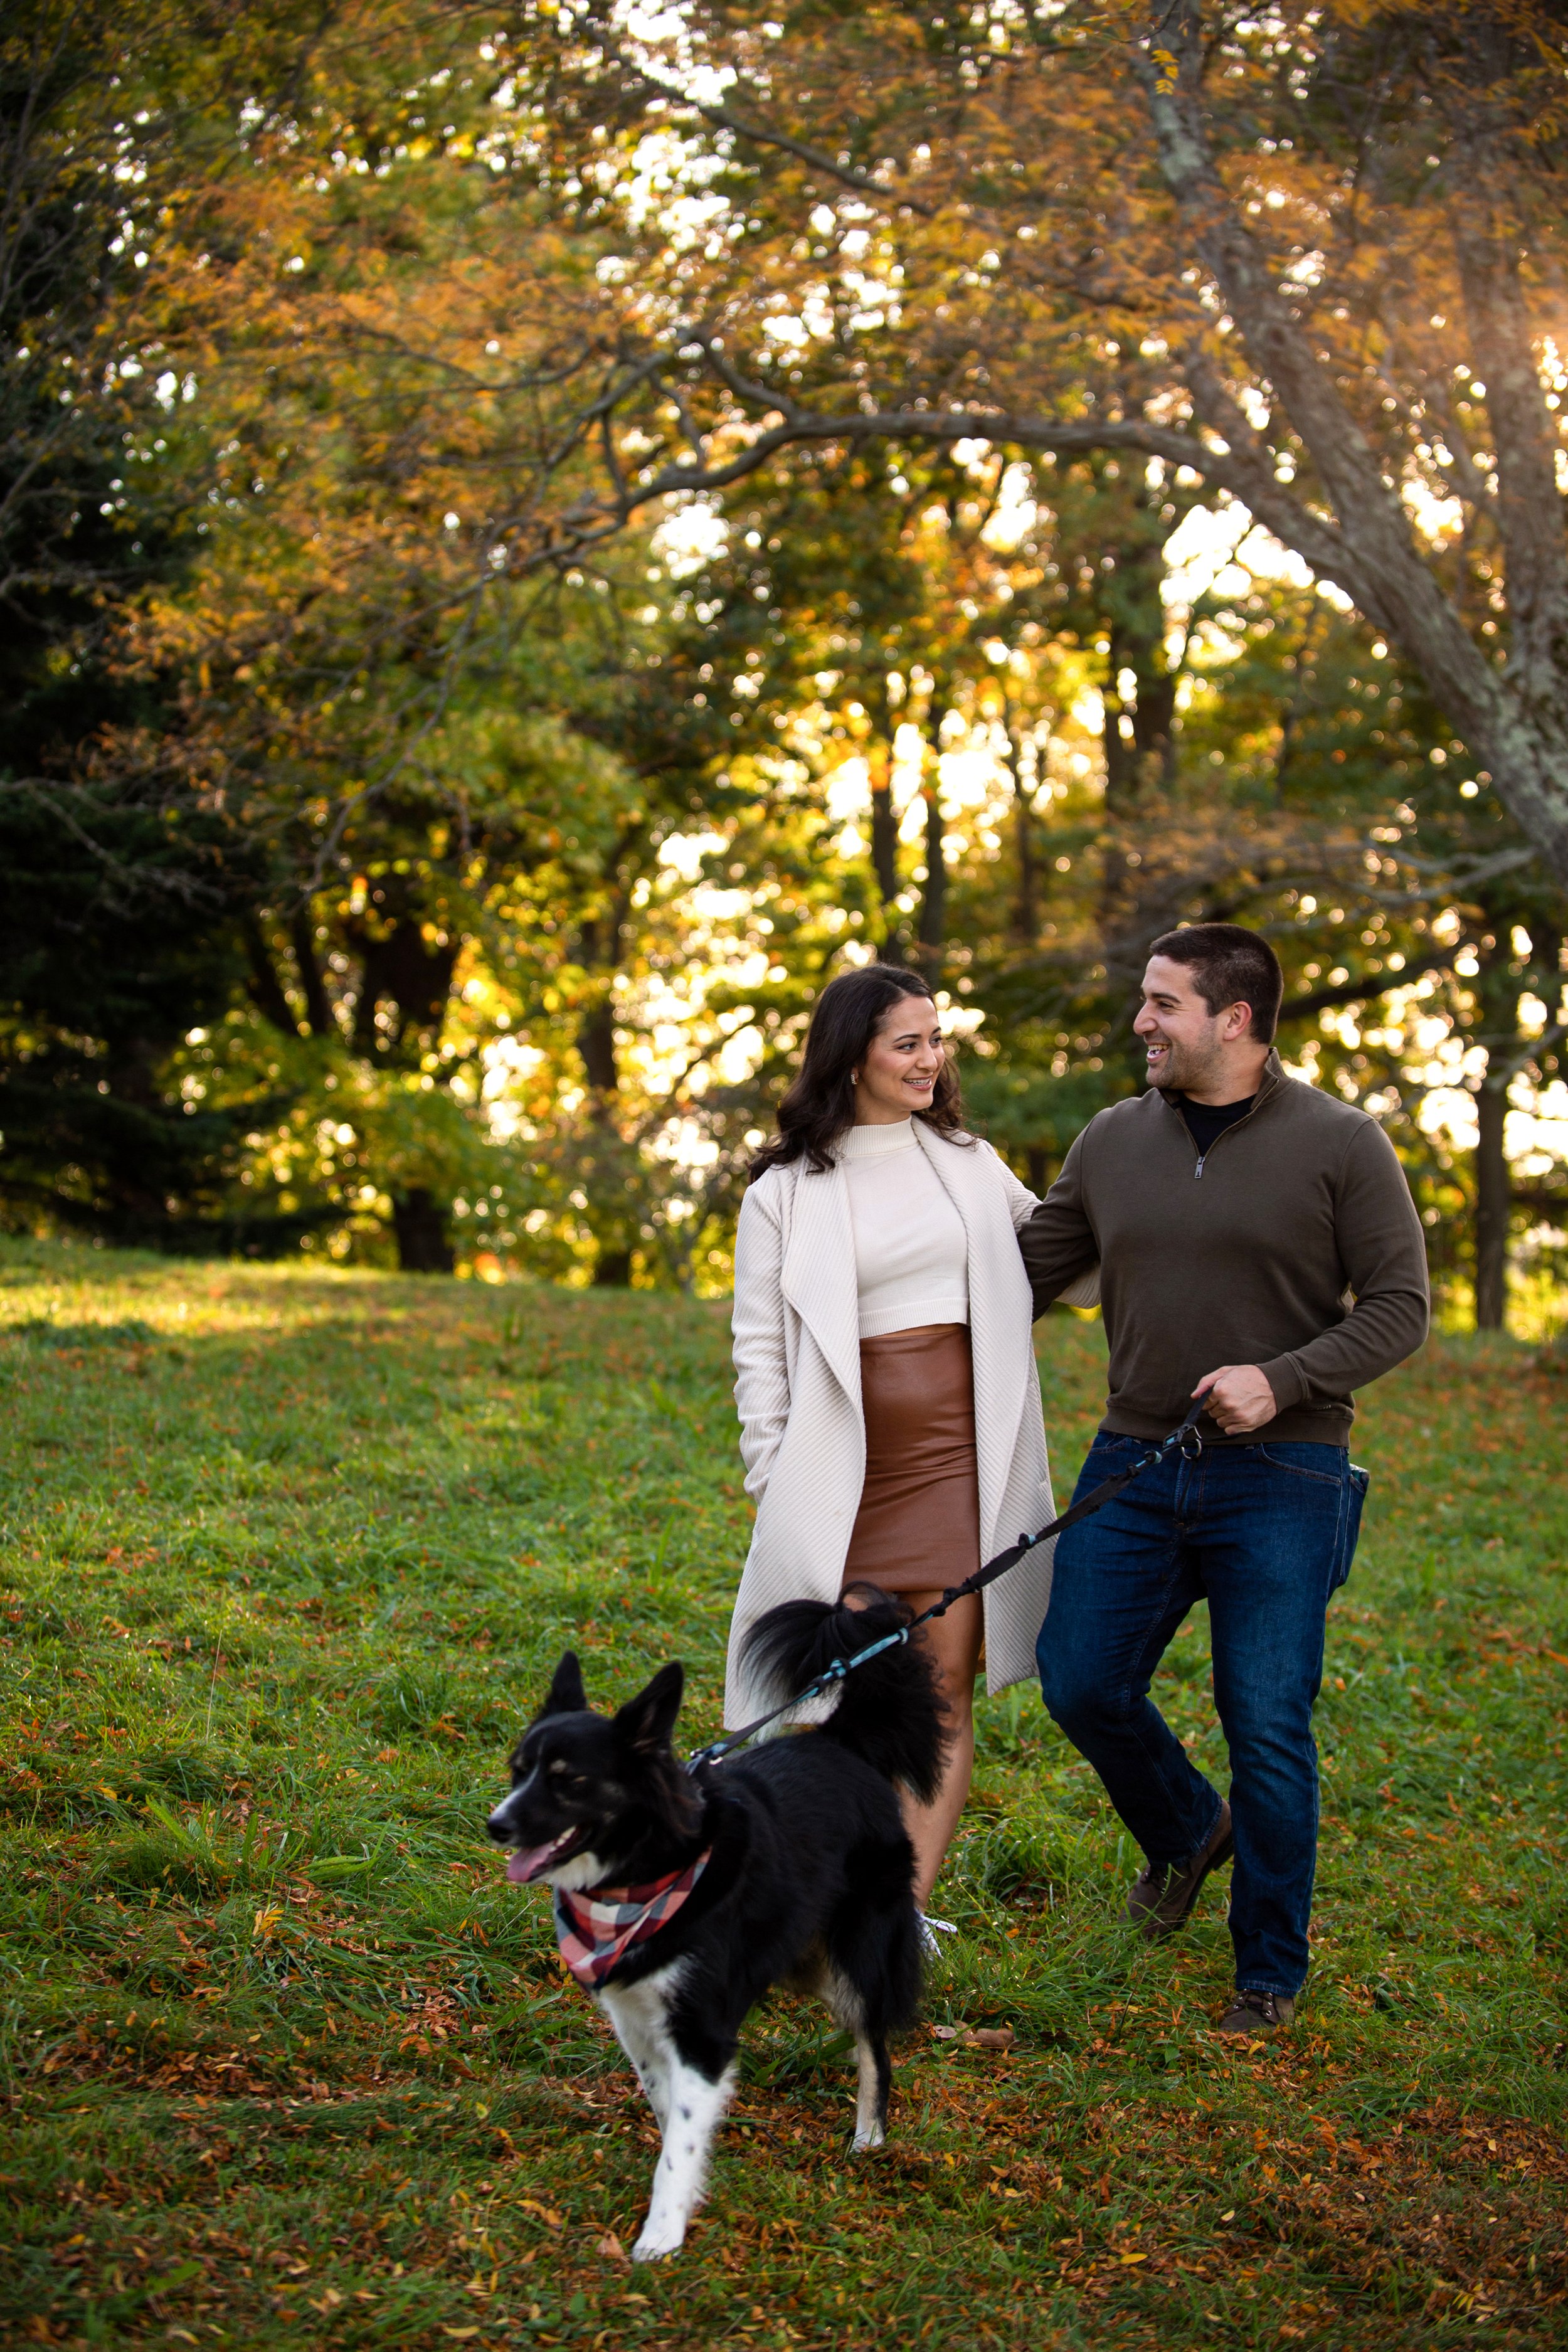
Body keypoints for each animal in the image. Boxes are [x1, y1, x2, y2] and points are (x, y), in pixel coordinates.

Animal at [484, 1599, 950, 2258]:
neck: (648, 1869)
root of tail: (842, 1744)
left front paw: (660, 2235)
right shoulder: (637, 2016)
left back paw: (869, 2141)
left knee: (875, 2046)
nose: (497, 1825)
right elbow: (670, 2111)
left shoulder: (702, 2029)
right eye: (518, 1770)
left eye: (568, 1779)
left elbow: (679, 2138)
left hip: (856, 1958)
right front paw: (687, 2187)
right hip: (804, 1962)